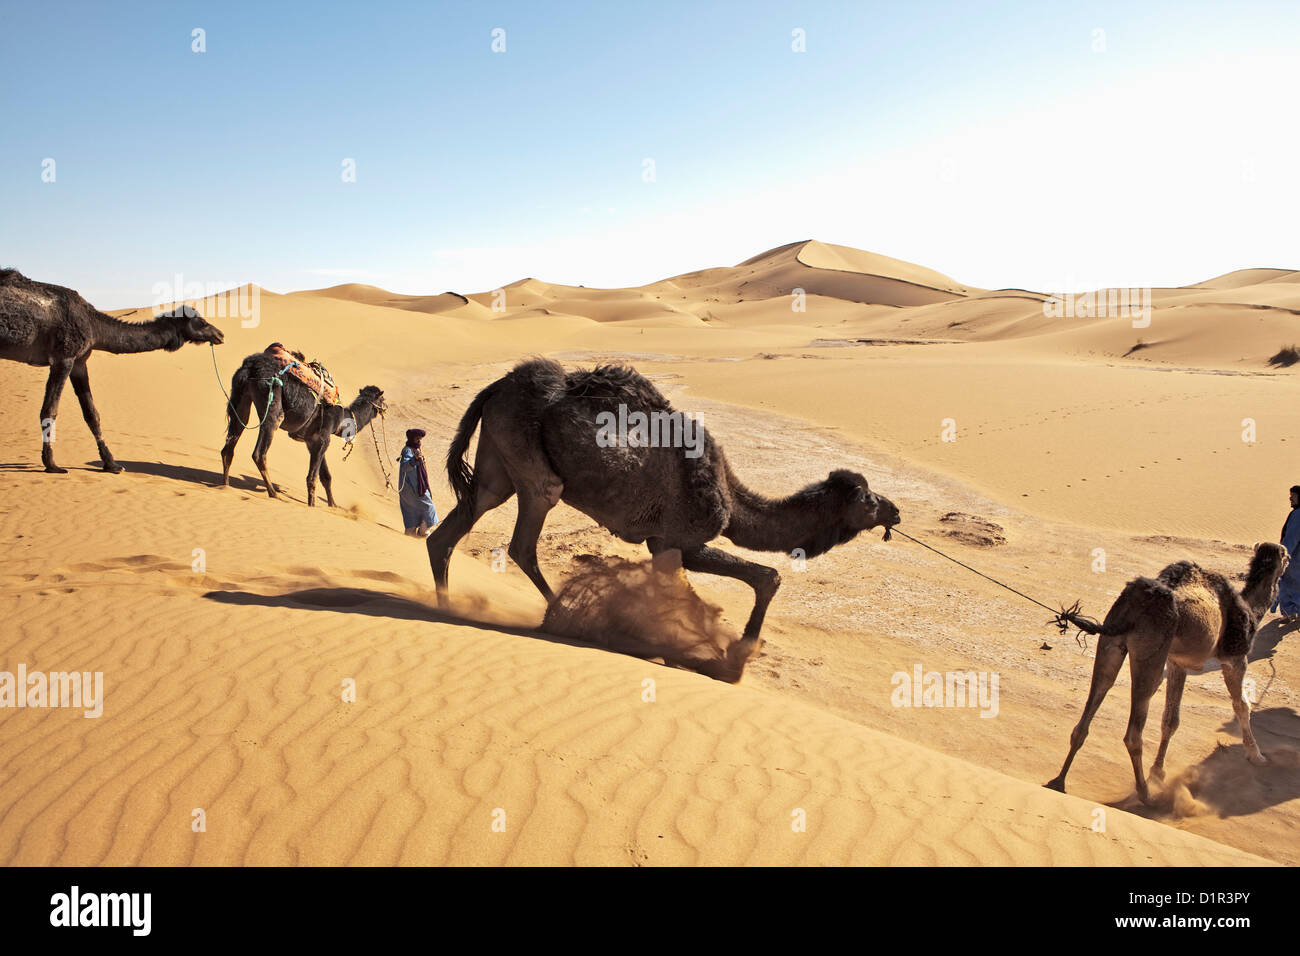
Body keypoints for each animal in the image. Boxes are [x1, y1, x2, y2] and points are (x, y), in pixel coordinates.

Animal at [0, 269, 224, 473]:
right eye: (202, 323)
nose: (220, 334)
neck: (94, 326)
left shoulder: (79, 361)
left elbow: (92, 414)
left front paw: (112, 464)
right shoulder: (63, 357)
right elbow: (49, 410)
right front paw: (51, 464)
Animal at [220, 349, 386, 507]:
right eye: (383, 399)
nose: (387, 408)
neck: (342, 420)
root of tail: (250, 365)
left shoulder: (313, 441)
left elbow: (326, 477)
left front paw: (333, 505)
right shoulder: (322, 438)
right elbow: (312, 478)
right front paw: (312, 506)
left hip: (241, 396)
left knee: (230, 443)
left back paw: (225, 486)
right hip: (271, 397)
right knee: (260, 452)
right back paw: (273, 493)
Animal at [426, 359, 901, 674]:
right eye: (869, 499)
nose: (896, 511)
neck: (731, 500)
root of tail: (495, 387)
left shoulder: (664, 544)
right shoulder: (678, 540)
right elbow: (766, 577)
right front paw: (731, 658)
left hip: (499, 460)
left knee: (457, 522)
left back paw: (446, 604)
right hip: (531, 464)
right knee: (525, 538)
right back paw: (561, 616)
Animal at [1046, 542, 1289, 803]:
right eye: (1287, 556)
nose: (1288, 559)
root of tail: (1133, 604)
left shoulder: (1177, 663)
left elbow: (1170, 720)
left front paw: (1158, 772)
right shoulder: (1234, 657)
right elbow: (1242, 705)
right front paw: (1257, 756)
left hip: (1112, 642)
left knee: (1094, 700)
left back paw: (1059, 781)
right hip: (1150, 652)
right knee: (1134, 731)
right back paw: (1144, 793)